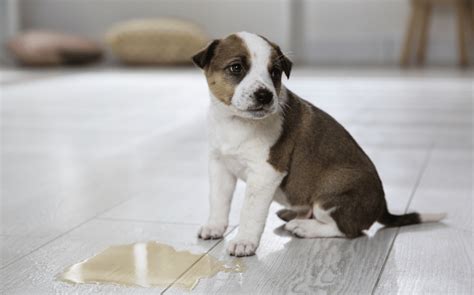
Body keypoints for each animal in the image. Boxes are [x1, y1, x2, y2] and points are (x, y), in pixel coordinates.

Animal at [192, 32, 444, 258]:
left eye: (275, 72)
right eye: (236, 68)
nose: (265, 95)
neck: (235, 122)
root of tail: (382, 206)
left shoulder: (265, 174)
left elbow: (250, 211)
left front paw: (244, 242)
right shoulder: (220, 165)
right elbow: (219, 200)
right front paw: (215, 226)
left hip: (330, 194)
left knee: (348, 230)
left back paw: (304, 227)